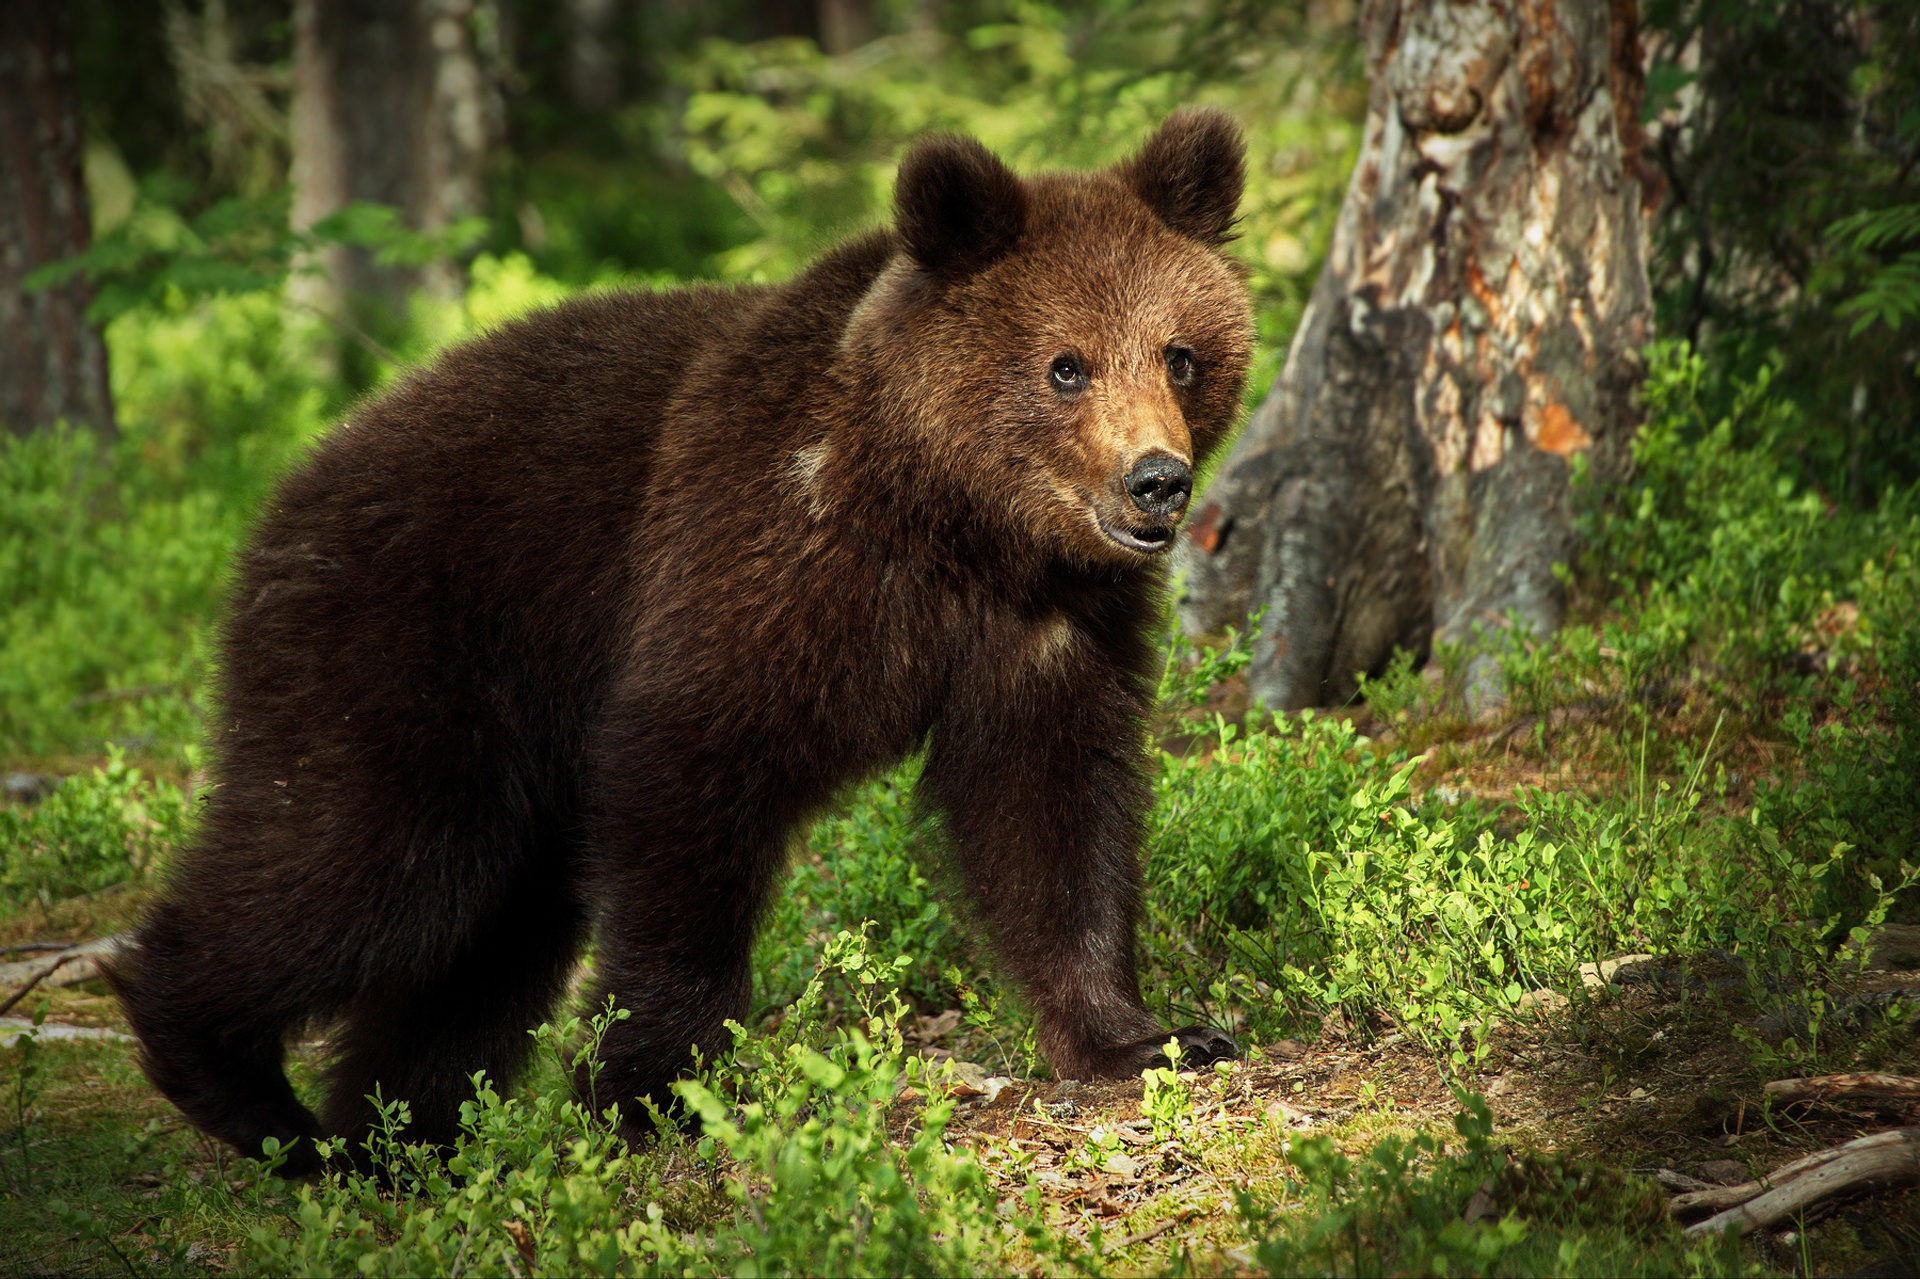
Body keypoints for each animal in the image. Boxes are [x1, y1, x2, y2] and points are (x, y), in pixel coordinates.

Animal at [116, 109, 1259, 1167]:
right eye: (1066, 365)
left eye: (1180, 355)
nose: (1157, 481)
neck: (950, 523)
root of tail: (288, 489)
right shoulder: (755, 562)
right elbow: (691, 786)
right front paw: (654, 1091)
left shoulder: (1050, 629)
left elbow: (1054, 810)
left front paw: (1146, 1034)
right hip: (410, 647)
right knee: (366, 864)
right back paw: (242, 1086)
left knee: (485, 936)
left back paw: (398, 1137)